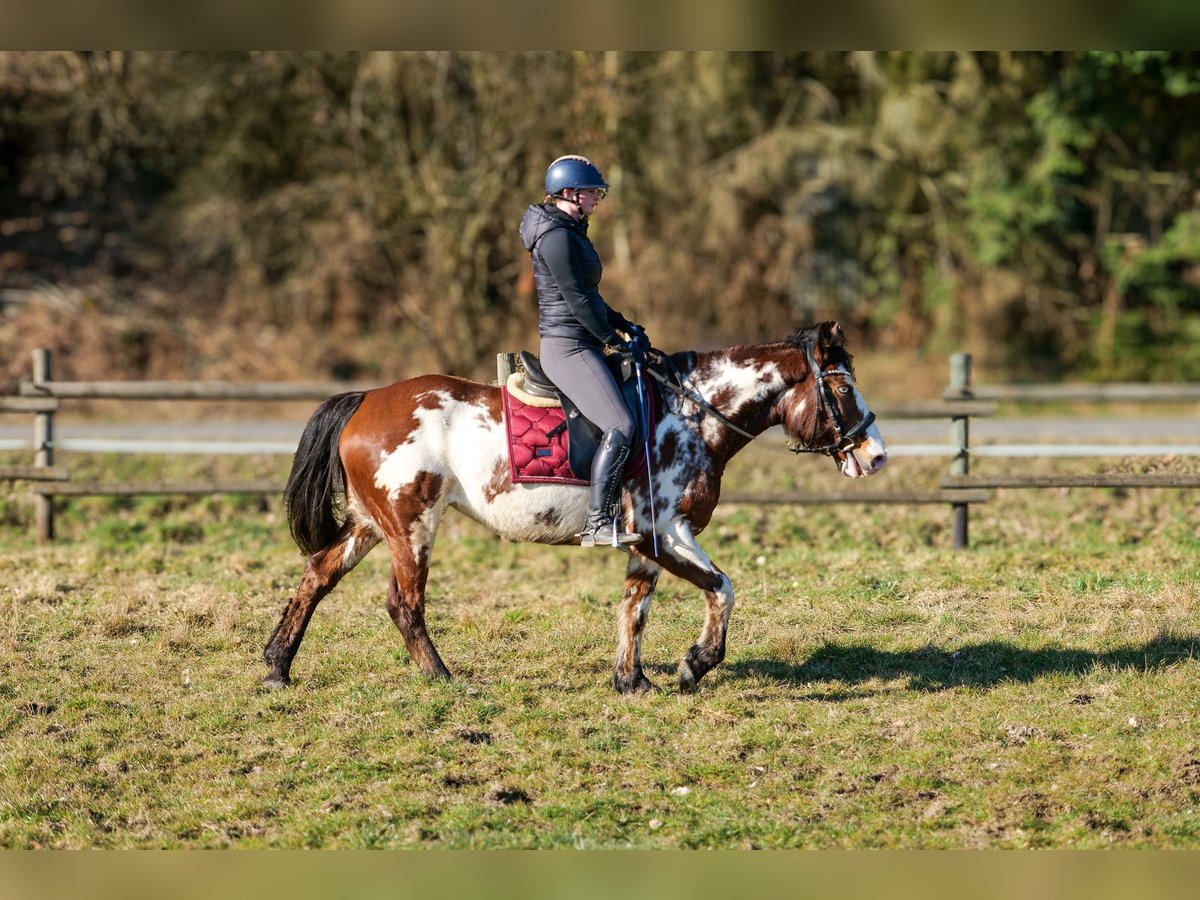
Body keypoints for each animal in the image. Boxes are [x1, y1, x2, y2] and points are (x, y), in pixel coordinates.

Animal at [272, 324, 892, 696]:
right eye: (842, 389)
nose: (876, 455)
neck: (689, 415)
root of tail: (366, 400)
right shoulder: (667, 532)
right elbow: (722, 589)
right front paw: (695, 664)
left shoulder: (646, 541)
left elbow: (635, 608)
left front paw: (631, 681)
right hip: (411, 526)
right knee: (404, 604)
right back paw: (445, 679)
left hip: (369, 524)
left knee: (316, 576)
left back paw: (276, 667)